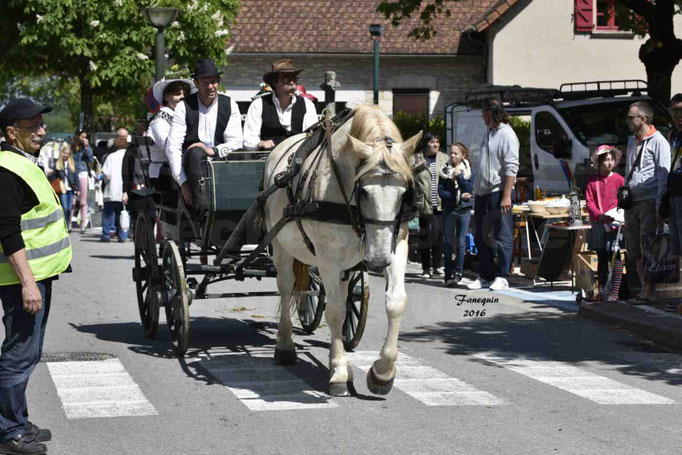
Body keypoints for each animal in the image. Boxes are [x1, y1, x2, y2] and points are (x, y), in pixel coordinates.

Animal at [262, 104, 422, 396]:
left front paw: (382, 373)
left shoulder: (397, 247)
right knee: (286, 286)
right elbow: (335, 311)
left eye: (405, 191)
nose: (377, 261)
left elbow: (395, 303)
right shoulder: (328, 259)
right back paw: (285, 347)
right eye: (365, 192)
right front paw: (337, 371)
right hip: (281, 245)